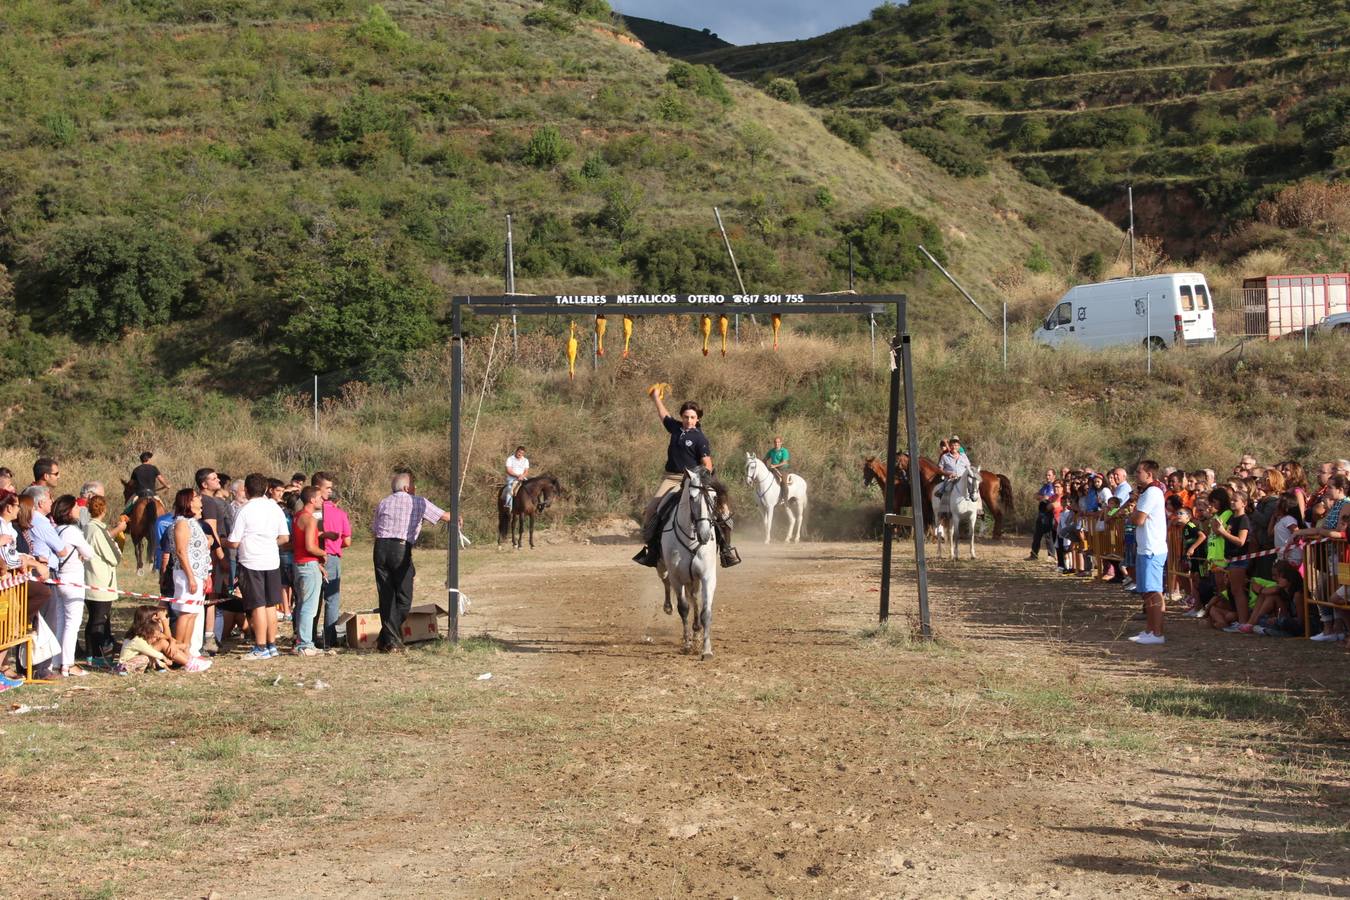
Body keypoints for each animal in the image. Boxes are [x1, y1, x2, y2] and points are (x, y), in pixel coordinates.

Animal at [658, 469, 723, 658]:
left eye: (714, 496)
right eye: (693, 497)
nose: (705, 534)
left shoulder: (707, 577)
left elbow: (705, 611)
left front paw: (706, 650)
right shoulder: (677, 577)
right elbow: (683, 608)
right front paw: (686, 645)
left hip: (693, 579)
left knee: (694, 597)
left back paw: (696, 632)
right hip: (663, 567)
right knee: (665, 581)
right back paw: (668, 607)